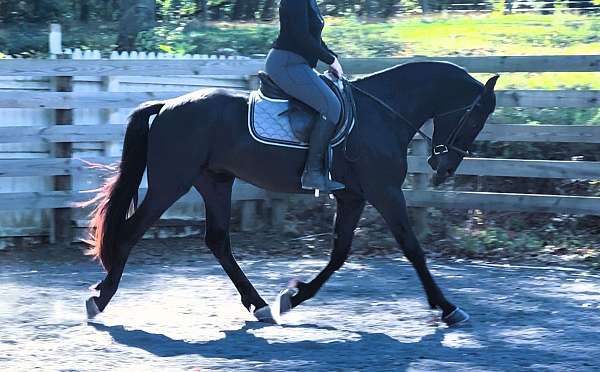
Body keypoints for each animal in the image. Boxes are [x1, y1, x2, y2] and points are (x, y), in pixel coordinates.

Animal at [83, 61, 496, 326]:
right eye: (477, 116)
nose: (445, 166)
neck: (382, 115)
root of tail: (167, 105)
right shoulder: (385, 192)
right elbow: (412, 247)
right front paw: (448, 308)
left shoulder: (353, 197)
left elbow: (339, 252)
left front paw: (294, 296)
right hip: (171, 183)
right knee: (131, 233)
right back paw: (100, 299)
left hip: (215, 182)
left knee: (218, 241)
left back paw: (260, 305)